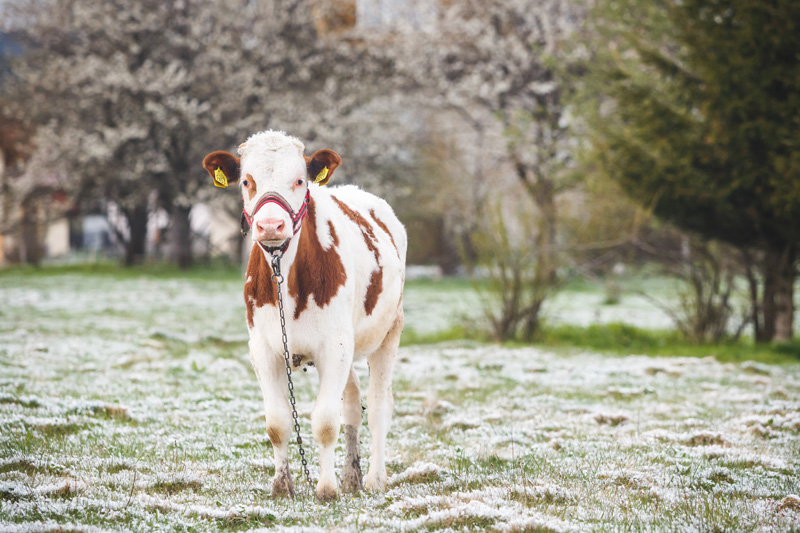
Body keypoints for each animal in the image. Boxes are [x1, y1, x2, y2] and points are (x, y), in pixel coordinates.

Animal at [203, 130, 406, 498]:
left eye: (299, 180)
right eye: (247, 181)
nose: (271, 225)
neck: (284, 275)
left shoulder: (334, 347)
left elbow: (325, 421)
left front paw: (325, 488)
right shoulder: (263, 349)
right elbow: (277, 422)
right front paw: (283, 484)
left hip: (389, 331)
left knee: (378, 405)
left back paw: (374, 478)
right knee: (353, 401)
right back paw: (351, 475)